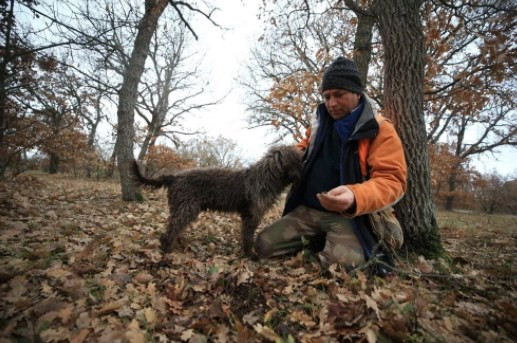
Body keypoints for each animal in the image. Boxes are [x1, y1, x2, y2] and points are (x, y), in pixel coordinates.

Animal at [131, 146, 302, 260]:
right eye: (298, 158)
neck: (266, 178)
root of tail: (174, 177)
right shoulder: (252, 216)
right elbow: (248, 236)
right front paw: (250, 255)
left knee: (173, 226)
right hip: (187, 208)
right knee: (171, 229)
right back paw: (166, 249)